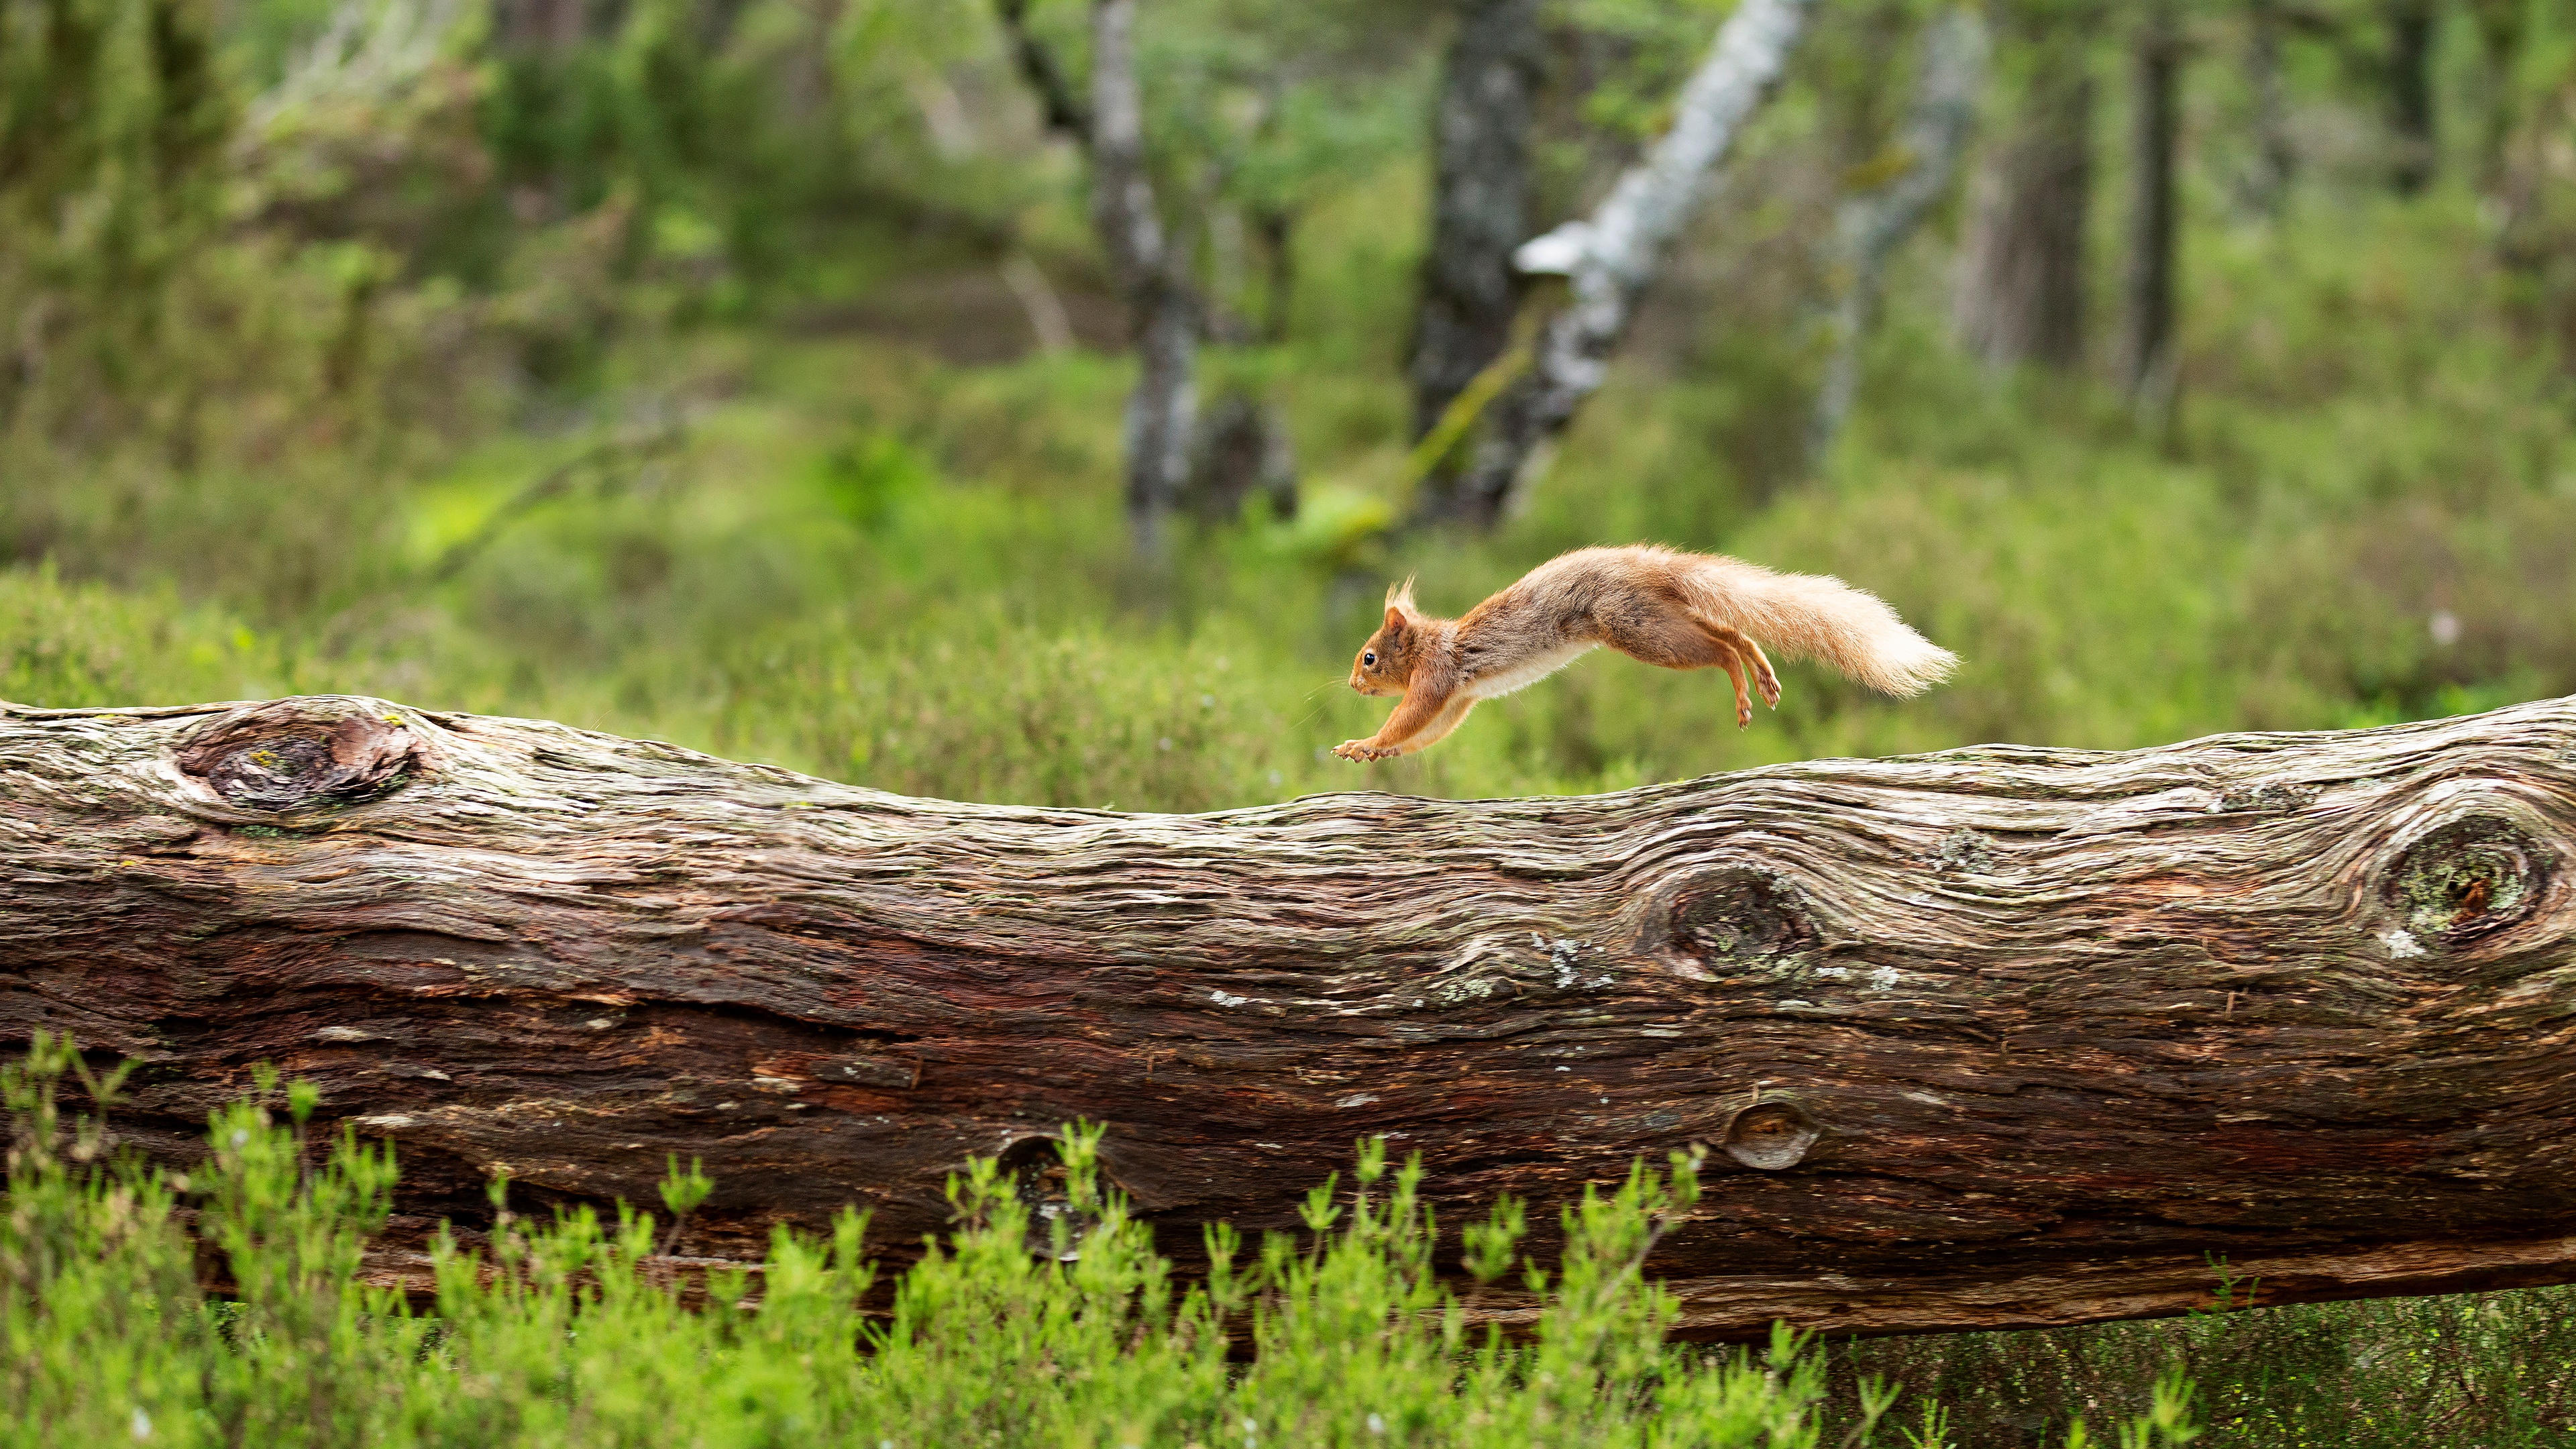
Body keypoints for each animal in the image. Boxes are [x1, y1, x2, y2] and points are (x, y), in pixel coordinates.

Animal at [1339, 541, 1957, 763]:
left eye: (1368, 658)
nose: (1351, 686)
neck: (1430, 641)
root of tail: (1649, 565)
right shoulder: (1460, 698)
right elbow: (1428, 733)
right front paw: (1379, 752)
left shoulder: (1439, 678)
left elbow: (1409, 717)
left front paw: (1363, 743)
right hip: (1656, 616)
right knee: (1732, 633)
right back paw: (1761, 672)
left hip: (1638, 628)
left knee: (1718, 648)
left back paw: (1742, 688)